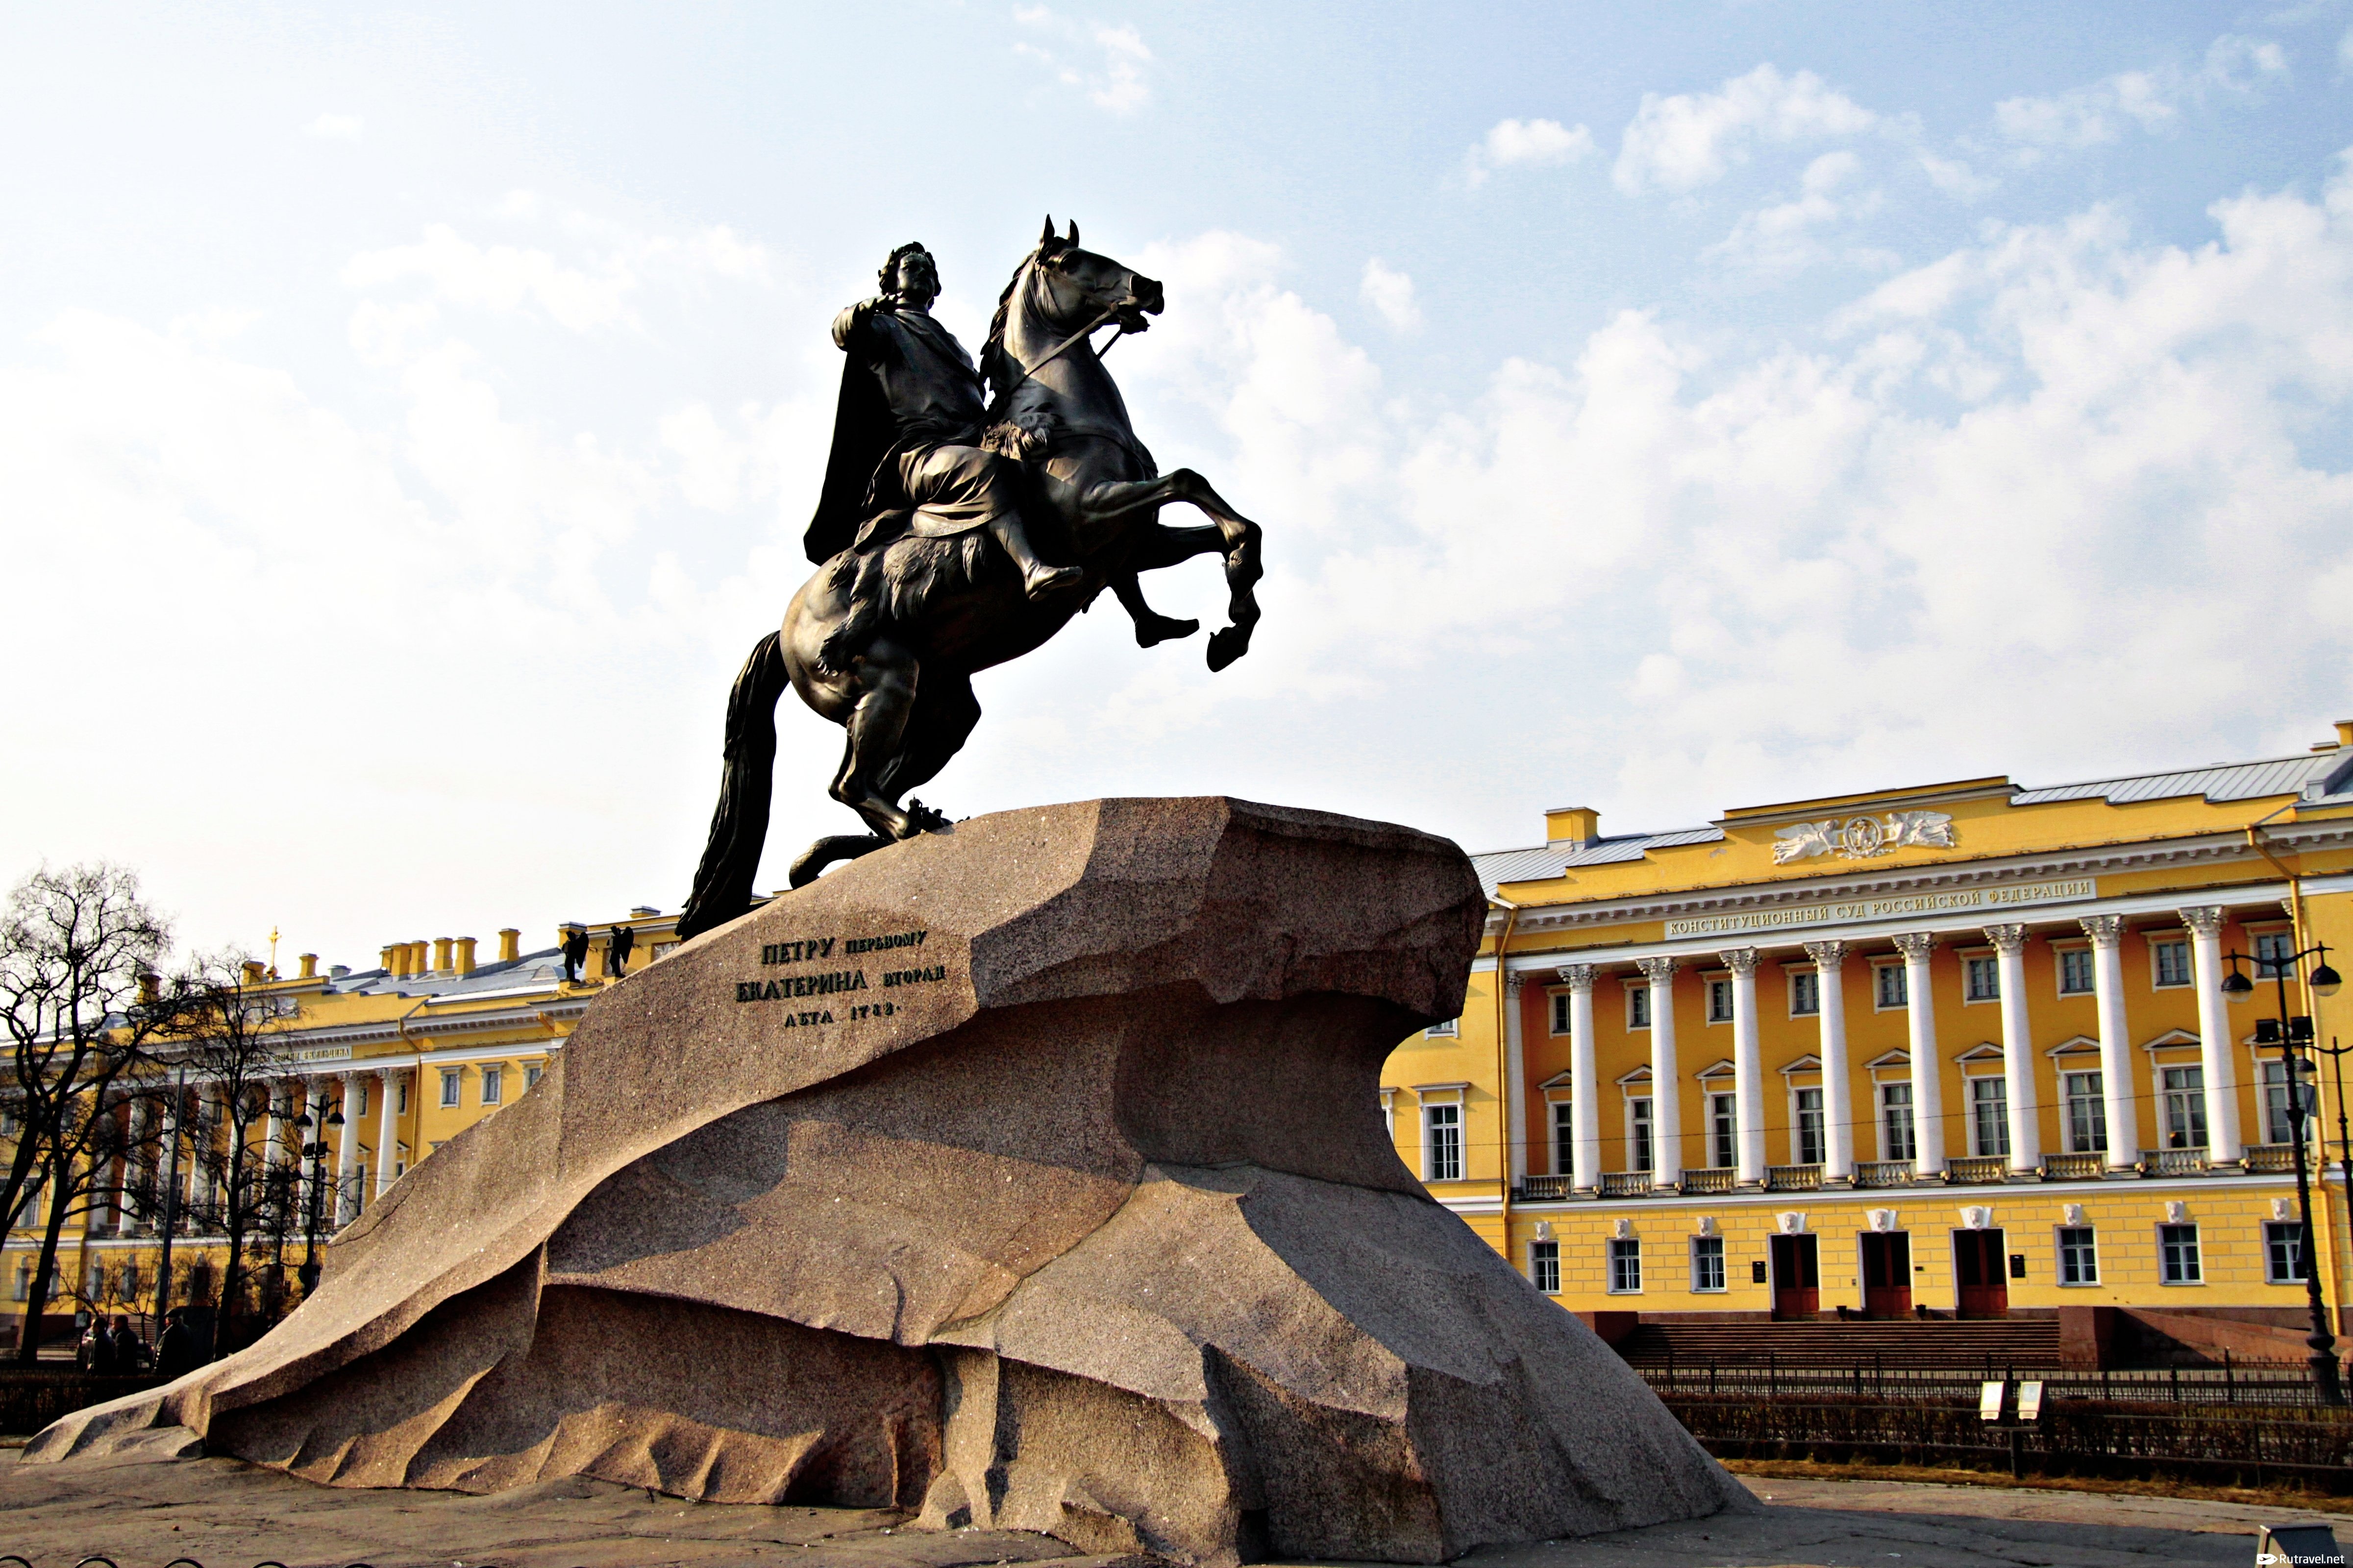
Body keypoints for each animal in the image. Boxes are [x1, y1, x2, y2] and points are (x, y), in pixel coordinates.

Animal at [677, 225, 1270, 940]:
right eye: (1071, 261)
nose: (1147, 288)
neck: (1059, 415)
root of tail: (786, 626)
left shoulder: (1134, 540)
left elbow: (1227, 527)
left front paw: (1232, 626)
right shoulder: (1095, 512)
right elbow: (1188, 480)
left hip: (942, 710)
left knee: (880, 779)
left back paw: (862, 844)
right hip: (885, 681)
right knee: (851, 782)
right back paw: (898, 831)